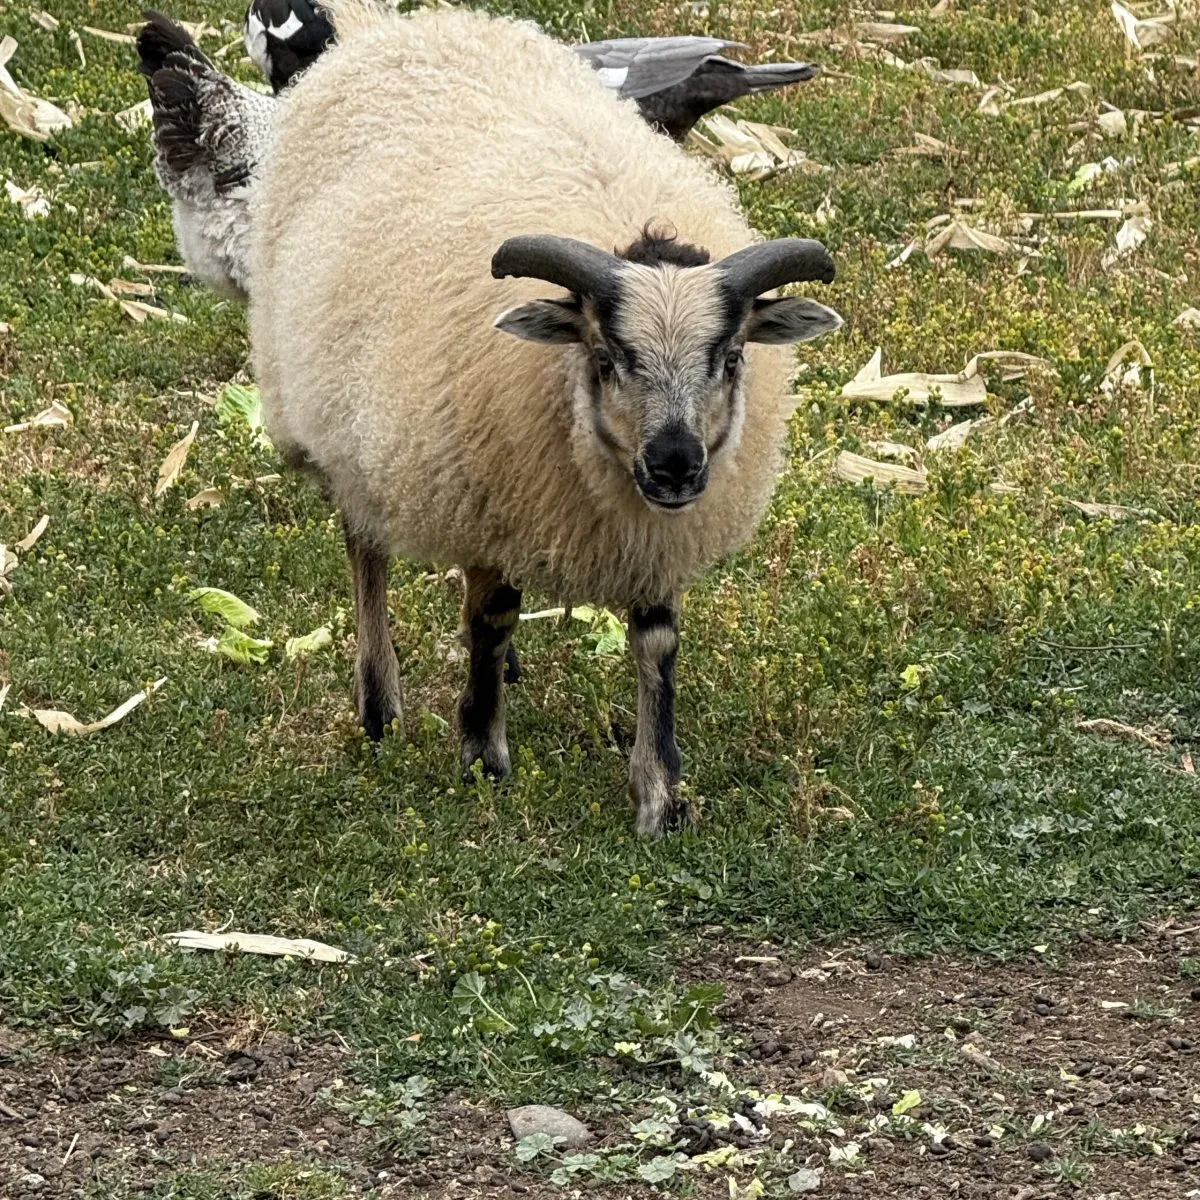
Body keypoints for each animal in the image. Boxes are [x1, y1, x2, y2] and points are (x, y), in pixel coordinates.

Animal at [248, 0, 842, 836]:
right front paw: (482, 753)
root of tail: (407, 27)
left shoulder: (654, 537)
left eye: (730, 358)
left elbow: (656, 644)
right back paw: (380, 702)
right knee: (366, 549)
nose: (675, 464)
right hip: (343, 418)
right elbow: (490, 616)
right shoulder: (486, 499)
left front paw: (659, 792)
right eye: (606, 355)